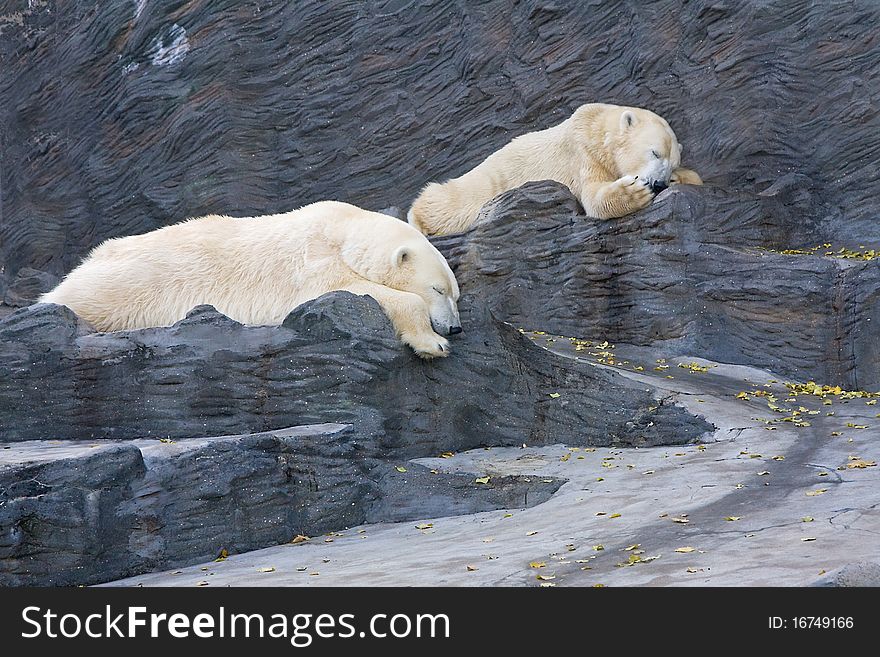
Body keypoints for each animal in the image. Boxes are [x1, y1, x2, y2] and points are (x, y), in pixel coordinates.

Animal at [41, 202, 464, 362]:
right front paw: (432, 343)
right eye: (437, 289)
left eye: (456, 293)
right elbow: (352, 289)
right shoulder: (312, 263)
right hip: (118, 287)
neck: (342, 231)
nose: (456, 328)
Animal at [406, 102, 700, 236]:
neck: (595, 127)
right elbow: (593, 196)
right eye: (654, 152)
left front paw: (685, 178)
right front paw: (633, 191)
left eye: (672, 164)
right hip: (483, 183)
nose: (659, 184)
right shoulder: (582, 153)